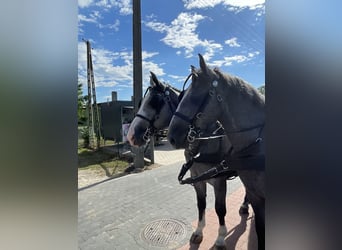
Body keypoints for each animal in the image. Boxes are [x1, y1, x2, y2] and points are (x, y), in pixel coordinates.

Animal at [167, 54, 266, 250]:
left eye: (194, 97)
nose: (171, 137)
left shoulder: (220, 181)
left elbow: (220, 209)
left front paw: (220, 239)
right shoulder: (198, 179)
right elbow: (201, 205)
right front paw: (199, 232)